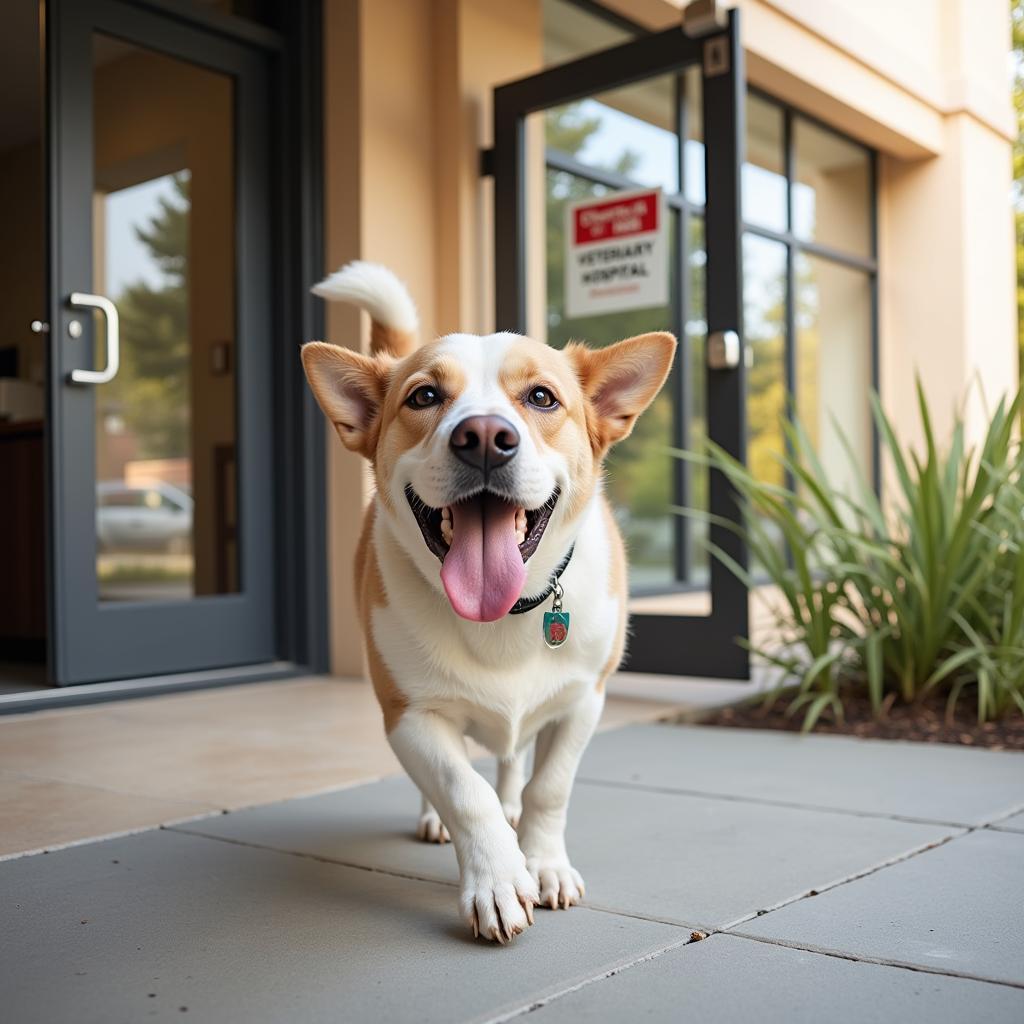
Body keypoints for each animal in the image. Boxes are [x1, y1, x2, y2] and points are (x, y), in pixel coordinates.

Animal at [299, 262, 675, 942]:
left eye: (542, 398)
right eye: (424, 397)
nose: (483, 437)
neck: (504, 617)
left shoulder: (583, 701)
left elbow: (549, 788)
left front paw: (542, 861)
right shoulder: (410, 715)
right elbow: (462, 790)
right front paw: (497, 879)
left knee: (510, 763)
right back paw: (437, 819)